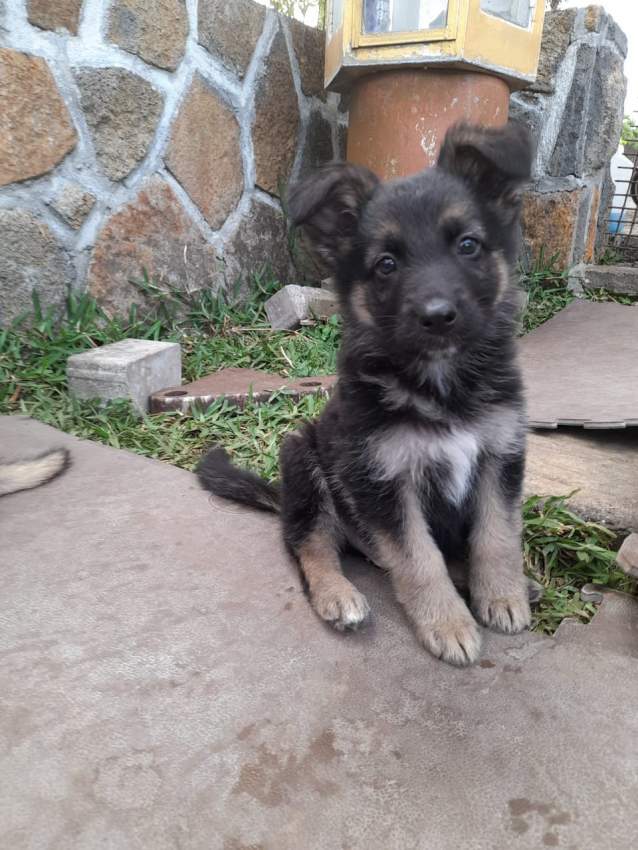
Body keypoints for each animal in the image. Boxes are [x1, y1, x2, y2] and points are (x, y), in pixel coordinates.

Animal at [199, 121, 536, 664]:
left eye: (468, 245)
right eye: (386, 264)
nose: (438, 316)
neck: (439, 385)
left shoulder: (499, 453)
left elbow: (497, 534)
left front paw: (502, 596)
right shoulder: (383, 479)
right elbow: (418, 558)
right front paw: (447, 624)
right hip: (304, 459)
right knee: (309, 544)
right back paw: (338, 594)